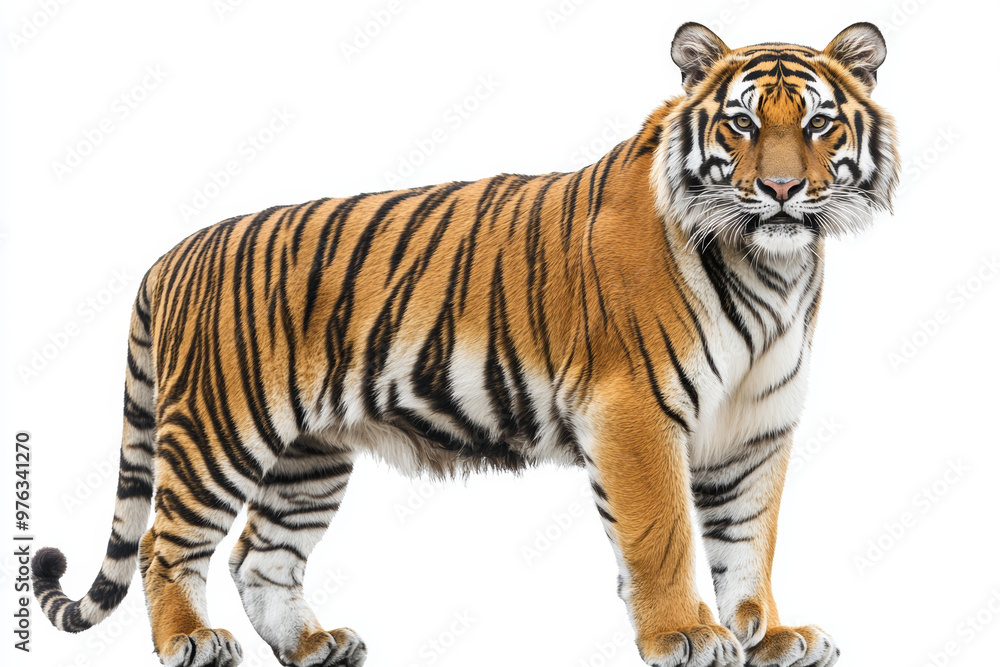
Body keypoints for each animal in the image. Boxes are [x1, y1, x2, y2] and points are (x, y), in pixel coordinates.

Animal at [32, 21, 898, 667]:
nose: (782, 190)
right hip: (220, 428)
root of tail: (173, 253)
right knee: (164, 542)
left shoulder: (756, 427)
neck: (772, 267)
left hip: (307, 457)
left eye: (818, 122)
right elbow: (663, 534)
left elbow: (749, 539)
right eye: (742, 123)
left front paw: (768, 633)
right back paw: (190, 639)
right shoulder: (635, 411)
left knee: (261, 556)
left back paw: (315, 644)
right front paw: (685, 633)